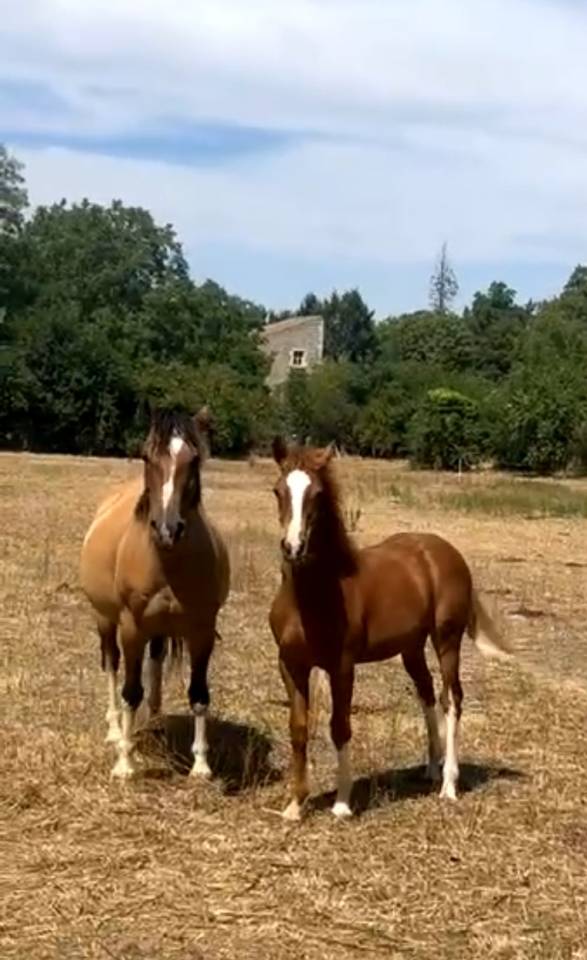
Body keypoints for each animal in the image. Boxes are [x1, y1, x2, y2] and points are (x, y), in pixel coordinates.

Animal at [80, 408, 230, 779]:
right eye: (147, 457)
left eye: (193, 459)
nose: (167, 530)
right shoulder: (132, 628)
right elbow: (131, 691)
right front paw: (125, 762)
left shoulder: (202, 630)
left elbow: (199, 693)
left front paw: (201, 765)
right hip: (105, 620)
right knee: (111, 664)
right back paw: (115, 729)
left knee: (157, 661)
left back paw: (154, 720)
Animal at [268, 439, 511, 820]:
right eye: (278, 490)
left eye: (317, 494)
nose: (293, 548)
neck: (314, 595)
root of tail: (447, 552)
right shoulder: (290, 665)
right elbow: (299, 728)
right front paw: (295, 805)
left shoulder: (342, 667)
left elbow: (340, 727)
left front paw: (341, 803)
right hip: (411, 648)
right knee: (427, 693)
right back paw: (431, 768)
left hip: (447, 640)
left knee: (452, 698)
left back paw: (448, 785)